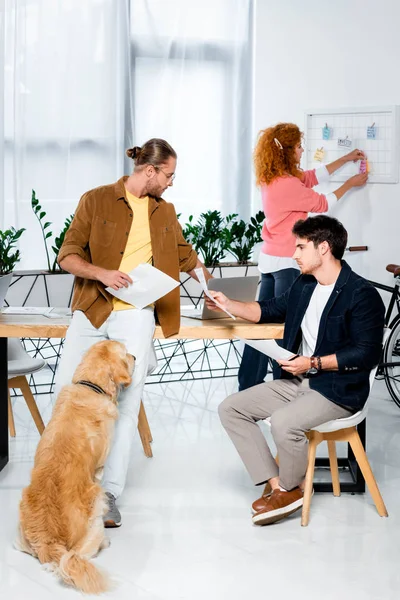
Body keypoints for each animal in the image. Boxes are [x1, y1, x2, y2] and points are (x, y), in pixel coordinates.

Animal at [14, 340, 135, 592]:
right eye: (126, 353)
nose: (136, 357)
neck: (90, 387)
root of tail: (49, 540)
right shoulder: (99, 468)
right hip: (96, 505)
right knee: (85, 552)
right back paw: (104, 541)